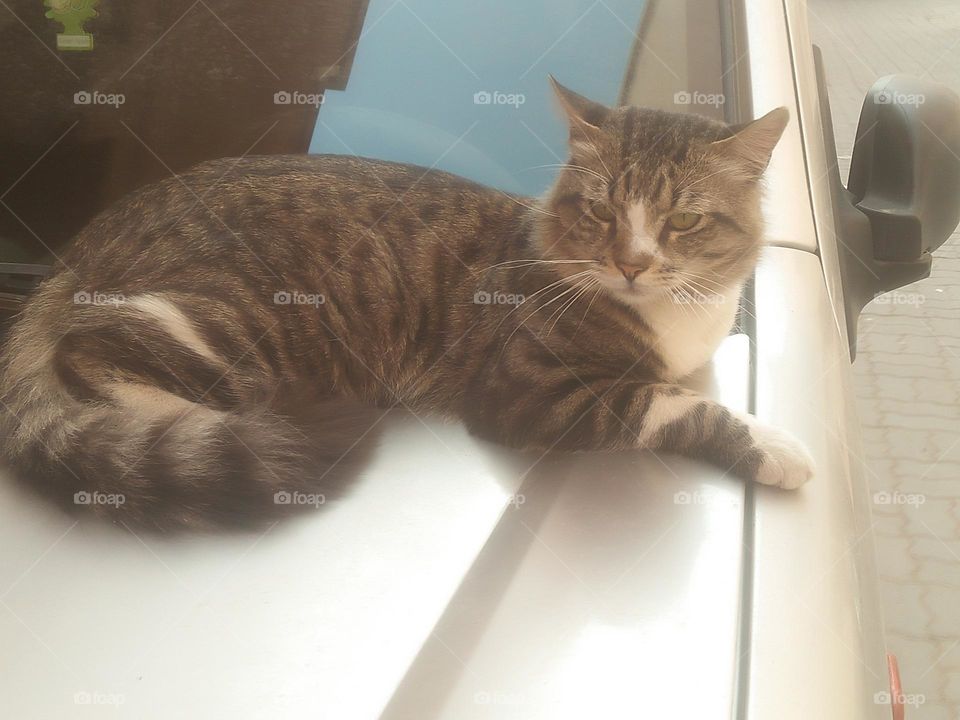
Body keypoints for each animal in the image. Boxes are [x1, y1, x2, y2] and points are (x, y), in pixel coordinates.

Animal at [0, 79, 808, 532]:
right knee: (90, 354)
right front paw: (776, 445)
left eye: (684, 220)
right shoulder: (528, 394)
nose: (632, 263)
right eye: (603, 211)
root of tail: (79, 251)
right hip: (236, 321)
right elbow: (672, 402)